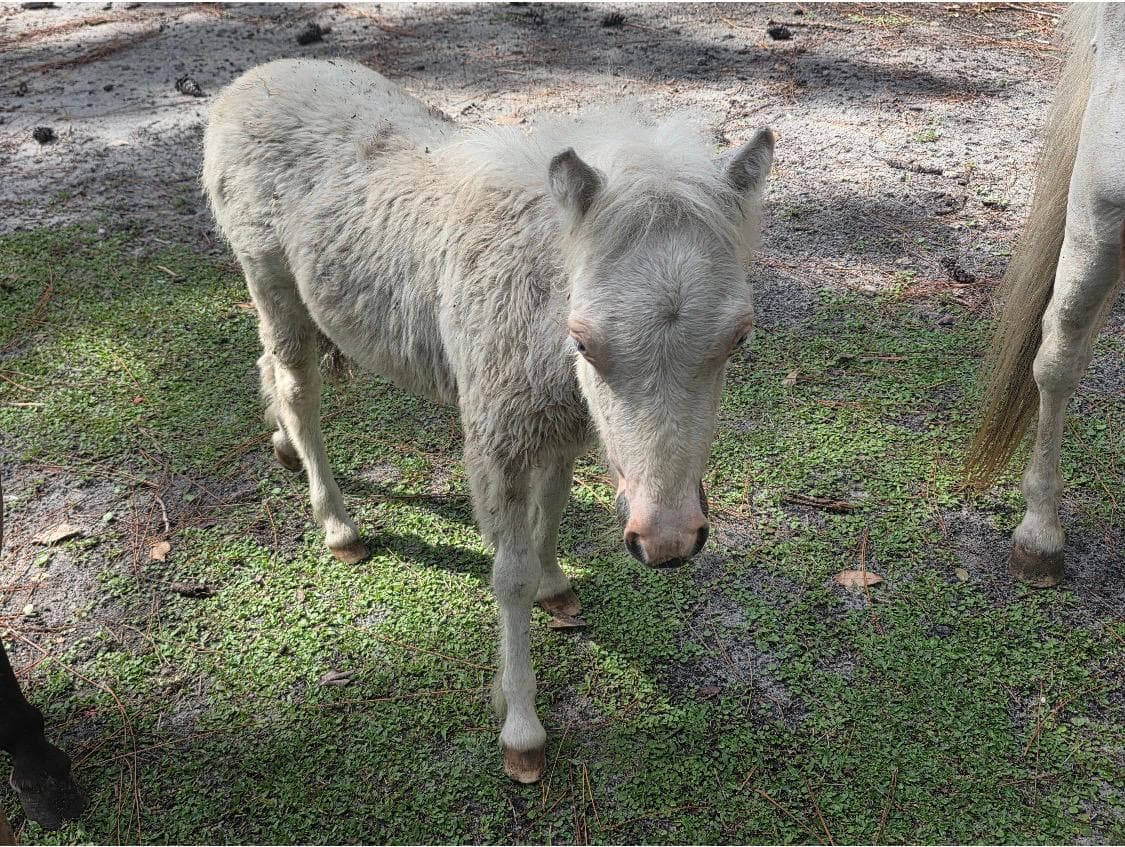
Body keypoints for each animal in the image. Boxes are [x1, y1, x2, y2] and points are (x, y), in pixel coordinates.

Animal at [203, 58, 772, 782]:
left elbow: (551, 511)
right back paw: (338, 524)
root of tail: (246, 84)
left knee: (268, 368)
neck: (536, 304)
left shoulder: (560, 427)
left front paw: (559, 586)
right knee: (299, 389)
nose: (667, 540)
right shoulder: (498, 440)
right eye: (583, 340)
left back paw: (280, 445)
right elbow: (510, 575)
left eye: (738, 337)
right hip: (271, 283)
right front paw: (521, 728)